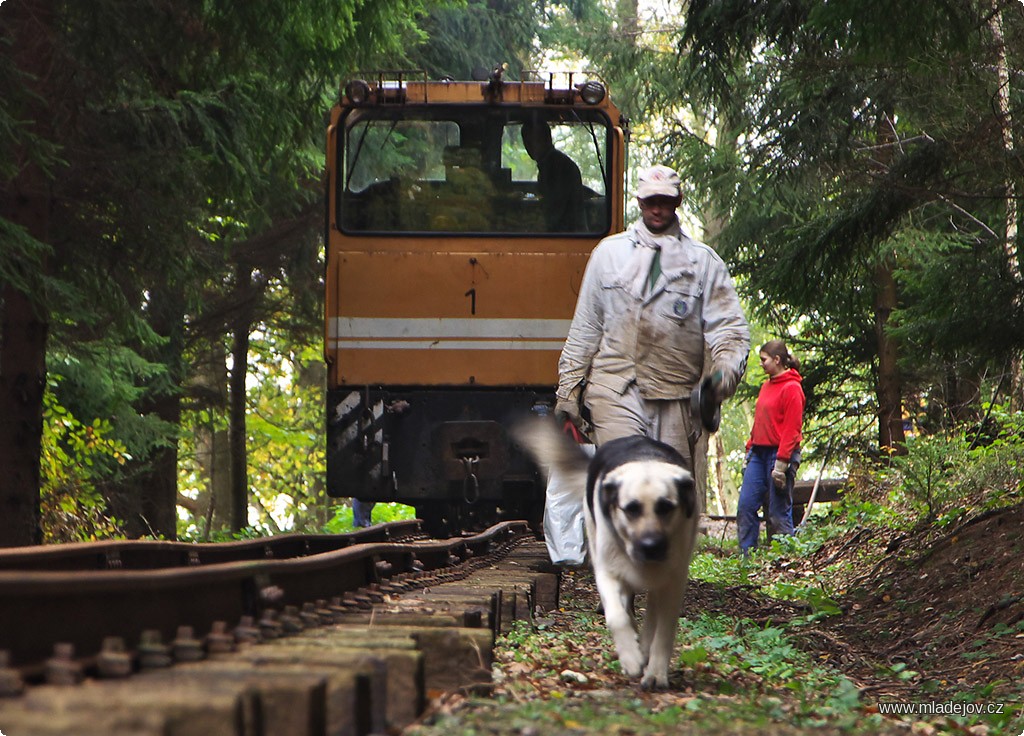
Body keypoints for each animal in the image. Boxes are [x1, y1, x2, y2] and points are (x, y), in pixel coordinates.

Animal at [516, 419, 700, 691]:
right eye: (631, 509)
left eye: (666, 507)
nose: (651, 546)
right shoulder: (608, 571)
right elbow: (617, 617)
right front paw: (631, 658)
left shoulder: (673, 579)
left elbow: (664, 630)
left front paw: (656, 672)